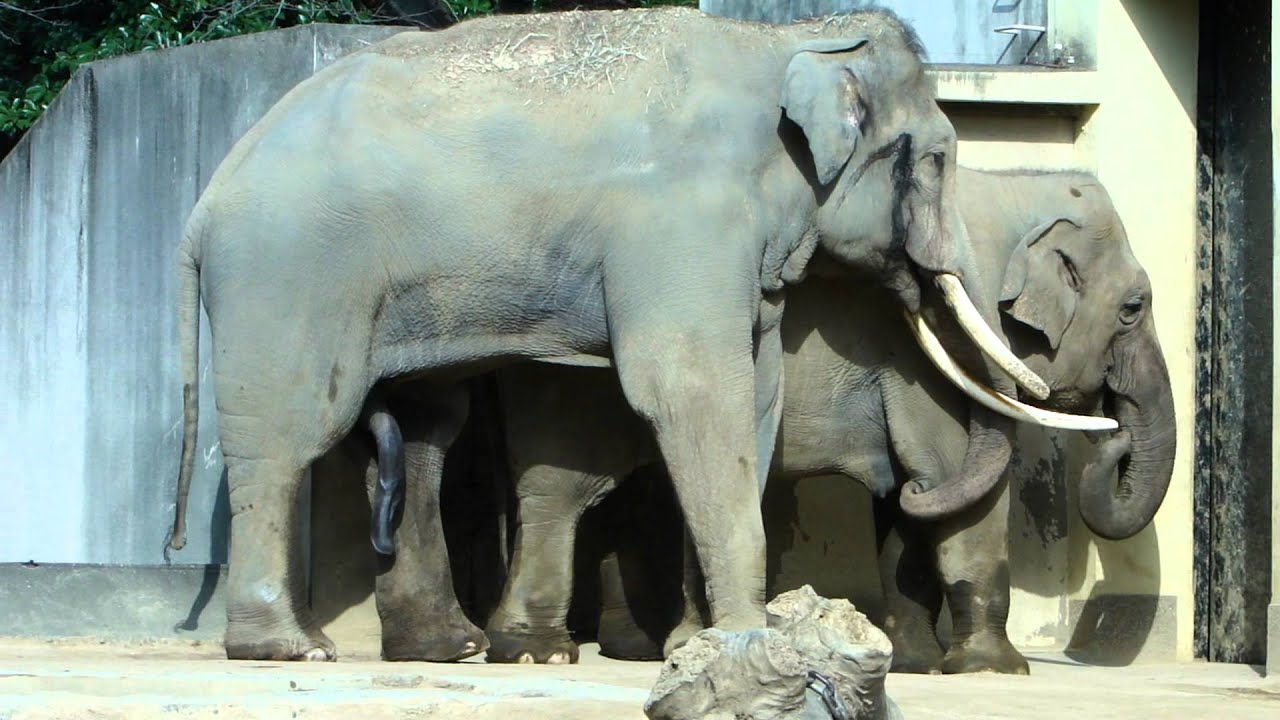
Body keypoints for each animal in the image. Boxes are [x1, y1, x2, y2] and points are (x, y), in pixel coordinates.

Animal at [163, 6, 1052, 662]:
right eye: (937, 161)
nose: (906, 492)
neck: (778, 39)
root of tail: (205, 203)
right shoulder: (682, 222)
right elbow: (690, 389)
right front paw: (747, 636)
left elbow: (753, 400)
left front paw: (706, 640)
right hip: (287, 272)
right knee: (290, 432)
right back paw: (289, 649)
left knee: (422, 432)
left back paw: (448, 647)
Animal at [475, 166, 1175, 671]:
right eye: (1133, 308)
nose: (1112, 439)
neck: (1013, 187)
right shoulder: (927, 355)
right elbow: (957, 484)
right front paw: (993, 671)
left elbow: (911, 505)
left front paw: (916, 664)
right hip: (572, 381)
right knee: (565, 491)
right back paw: (546, 653)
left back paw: (636, 649)